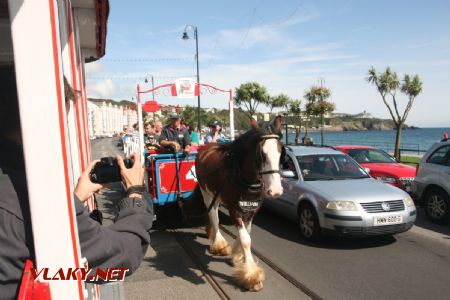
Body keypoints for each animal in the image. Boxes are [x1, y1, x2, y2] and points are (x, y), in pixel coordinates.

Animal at [183, 116, 284, 292]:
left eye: (280, 152)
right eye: (262, 155)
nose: (276, 191)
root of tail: (206, 147)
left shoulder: (252, 209)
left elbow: (247, 233)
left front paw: (238, 256)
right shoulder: (234, 209)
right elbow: (246, 239)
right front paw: (252, 276)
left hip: (217, 194)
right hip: (206, 192)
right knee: (214, 217)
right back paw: (219, 244)